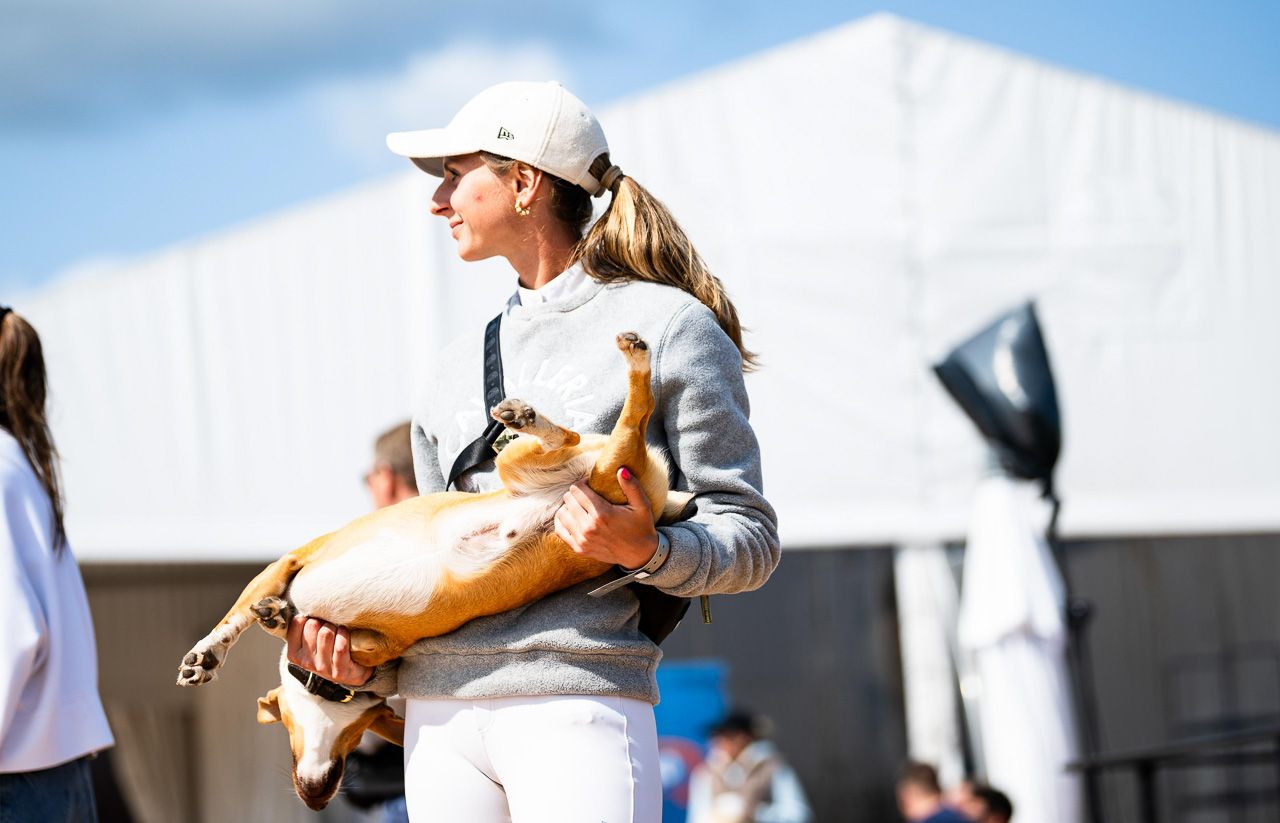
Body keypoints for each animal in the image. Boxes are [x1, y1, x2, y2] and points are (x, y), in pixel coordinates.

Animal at [176, 332, 689, 810]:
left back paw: (613, 370)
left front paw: (243, 638)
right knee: (600, 432)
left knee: (611, 422)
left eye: (359, 735)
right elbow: (249, 618)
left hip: (537, 462)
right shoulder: (347, 616)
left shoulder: (294, 567)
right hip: (525, 464)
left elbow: (248, 619)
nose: (319, 798)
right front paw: (240, 638)